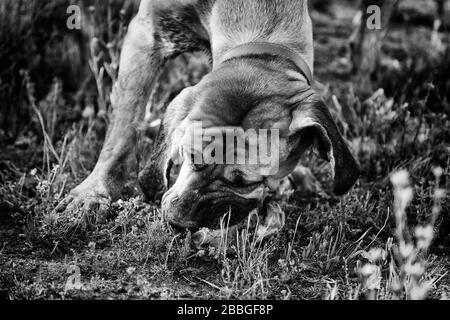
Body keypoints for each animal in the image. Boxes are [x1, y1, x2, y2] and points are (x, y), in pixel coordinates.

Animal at [58, 0, 358, 230]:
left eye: (244, 182)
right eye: (190, 156)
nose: (179, 223)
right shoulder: (146, 32)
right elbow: (124, 125)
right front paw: (94, 192)